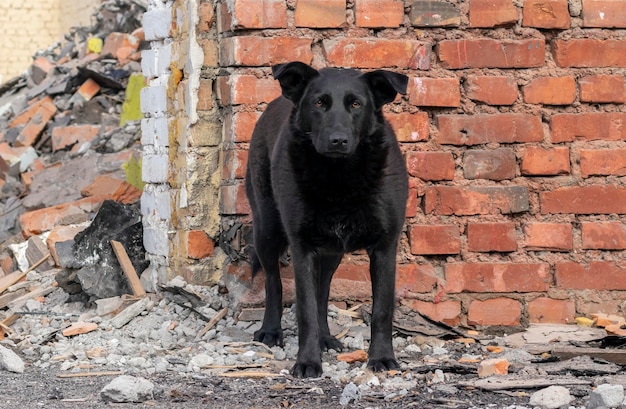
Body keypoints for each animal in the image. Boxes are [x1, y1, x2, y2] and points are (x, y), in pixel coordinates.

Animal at [244, 60, 410, 376]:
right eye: (319, 103)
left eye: (356, 104)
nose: (338, 140)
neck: (339, 177)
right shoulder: (303, 248)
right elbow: (305, 310)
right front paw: (307, 362)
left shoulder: (385, 247)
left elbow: (381, 310)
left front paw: (381, 357)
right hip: (267, 229)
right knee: (273, 280)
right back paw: (271, 330)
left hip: (332, 251)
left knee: (322, 293)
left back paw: (325, 337)